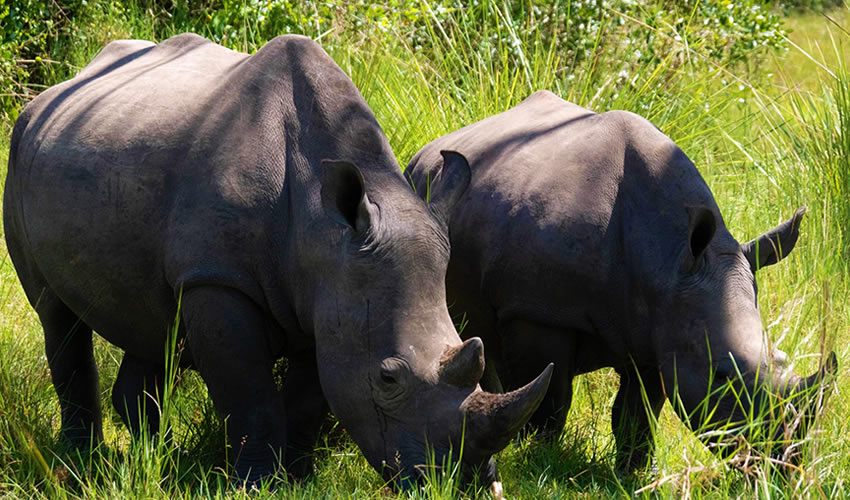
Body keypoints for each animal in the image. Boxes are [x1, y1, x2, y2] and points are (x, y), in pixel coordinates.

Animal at [2, 34, 553, 490]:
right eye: (388, 379)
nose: (469, 484)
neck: (322, 227)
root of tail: (50, 94)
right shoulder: (219, 280)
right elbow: (251, 396)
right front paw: (257, 485)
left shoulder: (329, 296)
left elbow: (309, 398)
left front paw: (300, 476)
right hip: (20, 152)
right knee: (58, 317)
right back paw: (81, 462)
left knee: (149, 319)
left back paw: (151, 458)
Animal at [406, 90, 836, 471]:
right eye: (722, 375)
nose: (784, 462)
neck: (668, 260)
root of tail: (425, 152)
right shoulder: (537, 313)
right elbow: (551, 400)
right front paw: (537, 458)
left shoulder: (662, 326)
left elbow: (638, 414)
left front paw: (633, 473)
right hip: (425, 188)